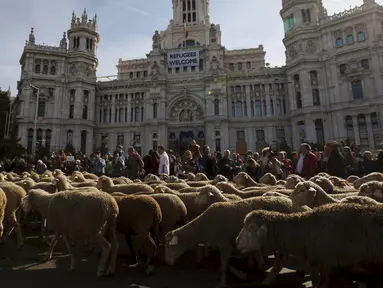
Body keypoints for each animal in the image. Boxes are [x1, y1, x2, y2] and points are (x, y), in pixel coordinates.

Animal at [166, 195, 310, 286]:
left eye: (170, 246)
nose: (168, 262)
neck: (204, 226)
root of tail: (297, 207)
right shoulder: (224, 244)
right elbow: (225, 264)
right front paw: (241, 275)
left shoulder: (224, 243)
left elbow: (224, 265)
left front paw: (222, 283)